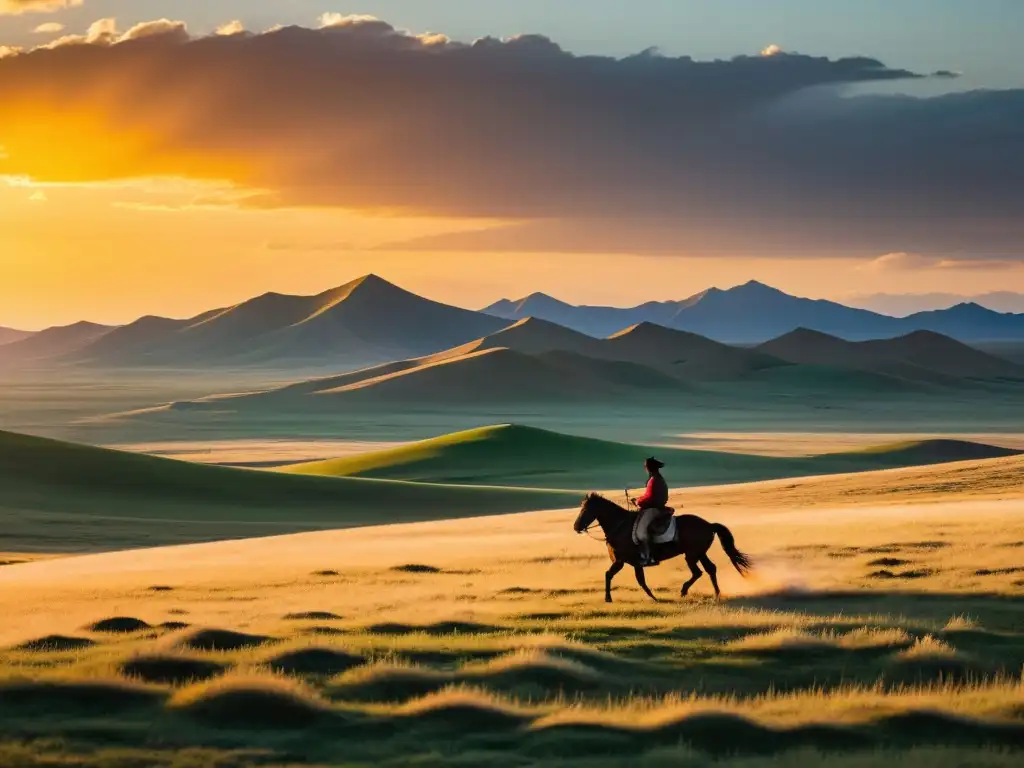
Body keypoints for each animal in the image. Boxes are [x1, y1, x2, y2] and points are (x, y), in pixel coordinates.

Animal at [577, 495, 753, 606]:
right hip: (700, 553)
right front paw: (653, 597)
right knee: (710, 569)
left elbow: (613, 576)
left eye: (585, 509)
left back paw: (683, 591)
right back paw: (717, 594)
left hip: (691, 555)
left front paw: (608, 598)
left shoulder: (622, 561)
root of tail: (709, 525)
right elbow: (637, 580)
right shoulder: (634, 563)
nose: (576, 527)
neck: (620, 526)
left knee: (698, 572)